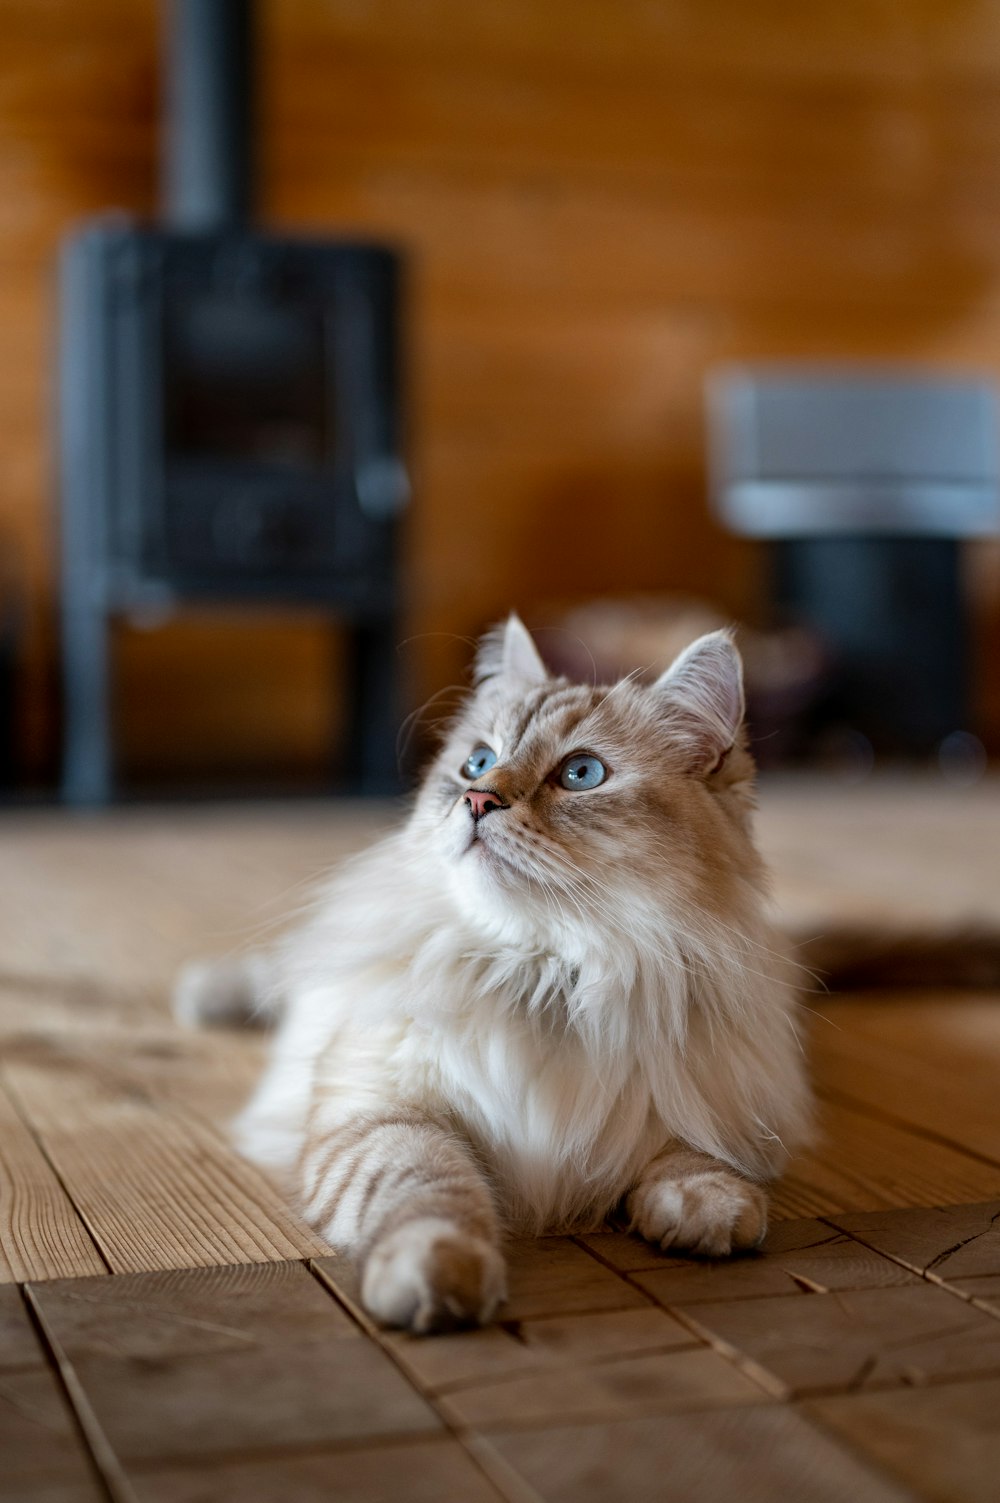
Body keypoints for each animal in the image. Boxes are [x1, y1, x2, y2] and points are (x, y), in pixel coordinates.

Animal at [177, 616, 812, 1334]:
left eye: (581, 773)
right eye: (477, 763)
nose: (478, 798)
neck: (543, 970)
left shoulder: (697, 1093)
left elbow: (695, 1157)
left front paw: (708, 1211)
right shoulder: (386, 1109)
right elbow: (428, 1194)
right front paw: (438, 1279)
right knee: (278, 975)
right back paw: (206, 993)